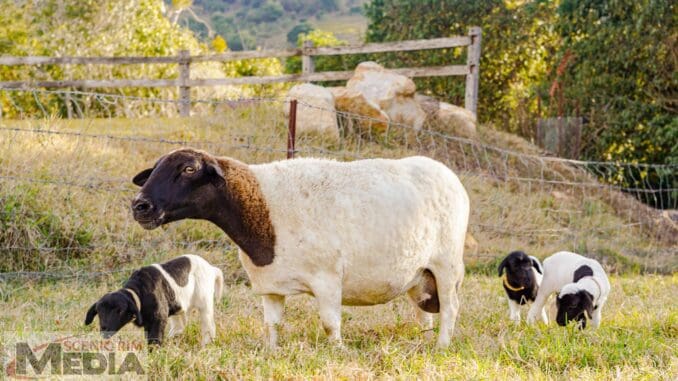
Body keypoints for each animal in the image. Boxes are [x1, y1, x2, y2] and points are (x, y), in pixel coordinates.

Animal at [86, 254, 224, 346]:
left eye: (119, 311)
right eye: (99, 312)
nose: (104, 329)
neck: (140, 291)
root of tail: (212, 268)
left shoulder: (158, 319)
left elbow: (154, 340)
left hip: (205, 303)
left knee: (208, 326)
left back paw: (206, 345)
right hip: (179, 306)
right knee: (179, 325)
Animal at [133, 148, 472, 348]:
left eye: (189, 169)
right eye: (154, 169)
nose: (140, 206)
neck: (262, 212)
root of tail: (447, 173)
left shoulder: (328, 279)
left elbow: (330, 324)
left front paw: (338, 352)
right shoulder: (270, 286)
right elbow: (270, 326)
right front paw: (270, 352)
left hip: (446, 265)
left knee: (451, 308)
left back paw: (442, 346)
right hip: (419, 274)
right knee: (424, 312)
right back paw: (423, 340)